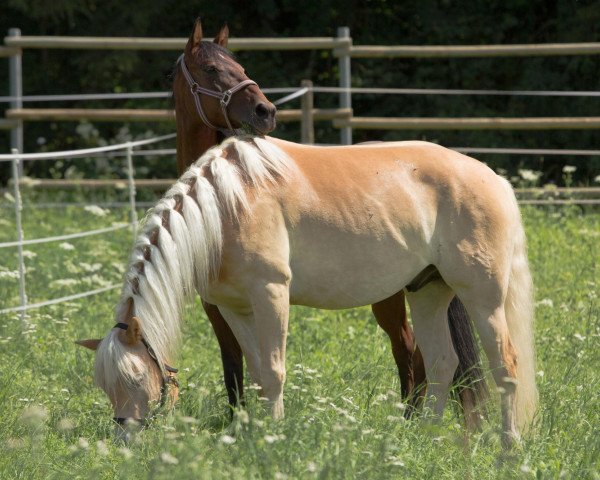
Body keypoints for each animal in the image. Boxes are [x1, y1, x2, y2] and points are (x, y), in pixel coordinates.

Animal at [76, 131, 540, 446]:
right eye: (104, 385)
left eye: (136, 377)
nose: (125, 438)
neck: (226, 208)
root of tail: (493, 178)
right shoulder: (235, 308)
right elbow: (257, 373)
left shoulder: (271, 293)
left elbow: (275, 371)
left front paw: (274, 436)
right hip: (428, 293)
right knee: (443, 363)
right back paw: (425, 436)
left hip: (483, 296)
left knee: (506, 365)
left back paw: (509, 446)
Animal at [165, 17, 488, 424]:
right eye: (211, 69)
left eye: (240, 66)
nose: (265, 110)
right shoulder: (219, 306)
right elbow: (236, 366)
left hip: (390, 296)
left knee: (408, 349)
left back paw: (407, 420)